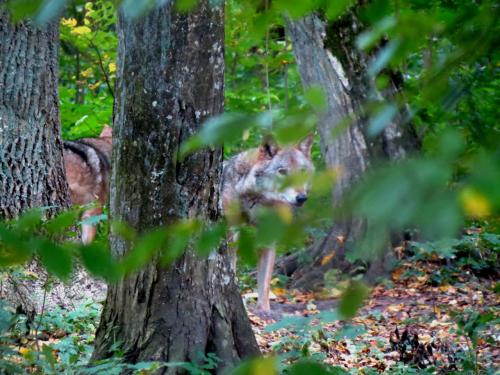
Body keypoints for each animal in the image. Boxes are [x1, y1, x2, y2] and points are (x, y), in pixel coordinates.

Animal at [222, 135, 314, 312]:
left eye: (302, 172)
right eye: (282, 172)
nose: (302, 198)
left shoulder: (268, 240)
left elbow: (264, 284)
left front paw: (264, 311)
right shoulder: (230, 234)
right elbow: (231, 271)